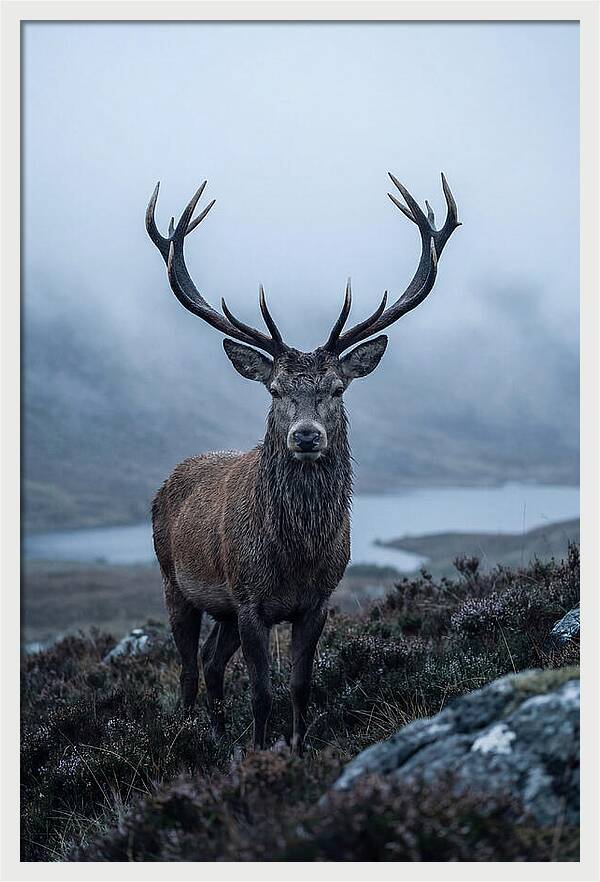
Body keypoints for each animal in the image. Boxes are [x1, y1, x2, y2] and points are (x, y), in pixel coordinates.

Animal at [146, 172, 460, 753]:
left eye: (336, 387)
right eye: (274, 390)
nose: (307, 435)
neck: (295, 556)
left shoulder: (316, 601)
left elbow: (299, 685)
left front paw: (295, 748)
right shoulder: (250, 600)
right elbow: (261, 692)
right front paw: (259, 751)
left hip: (221, 608)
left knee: (211, 663)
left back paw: (219, 736)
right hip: (174, 582)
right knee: (188, 669)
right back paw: (192, 736)